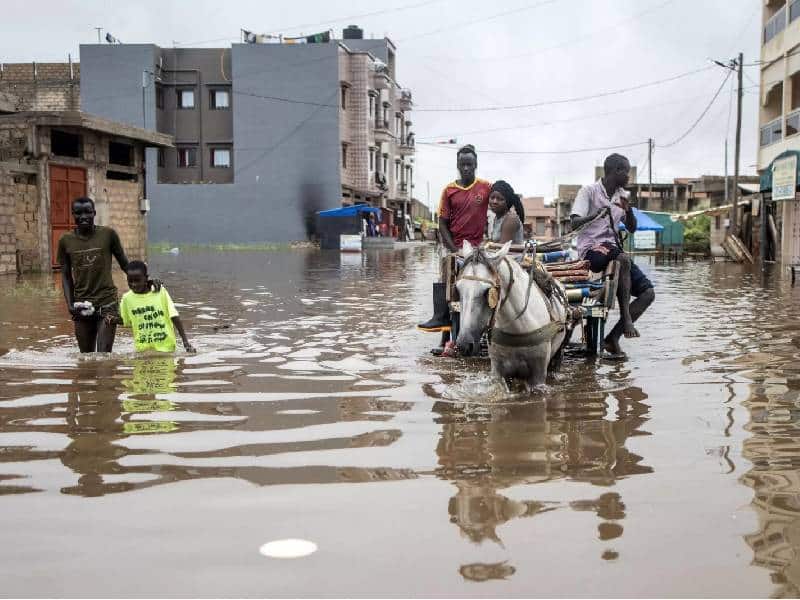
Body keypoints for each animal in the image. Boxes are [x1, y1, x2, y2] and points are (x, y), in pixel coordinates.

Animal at [456, 239, 576, 390]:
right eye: (458, 289)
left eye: (487, 291)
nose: (464, 345)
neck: (518, 328)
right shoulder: (498, 372)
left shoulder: (538, 376)